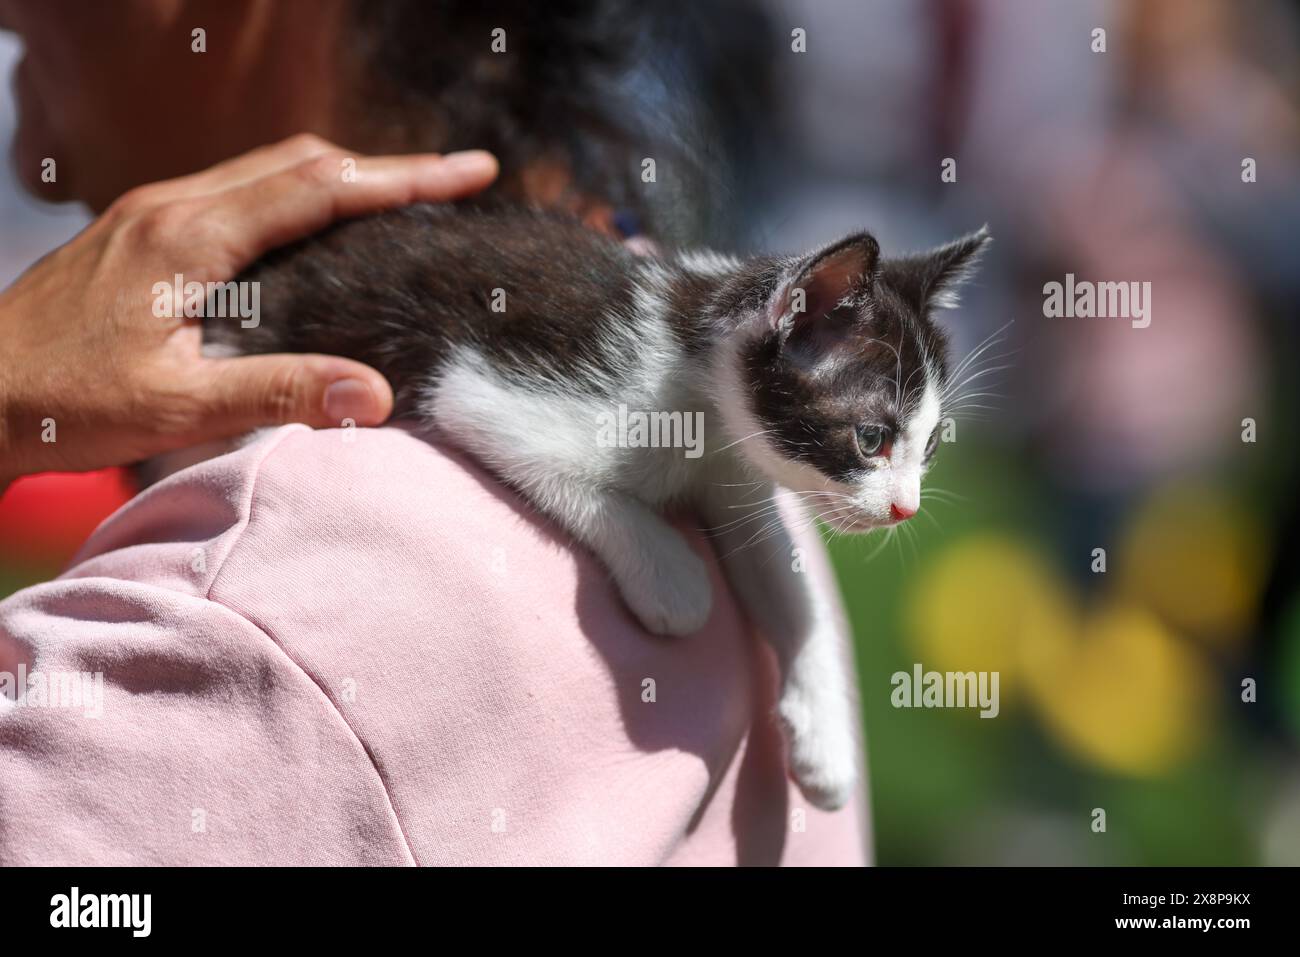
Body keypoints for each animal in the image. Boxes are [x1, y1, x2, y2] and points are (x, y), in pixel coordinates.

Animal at [208, 208, 987, 806]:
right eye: (871, 437)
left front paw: (824, 740)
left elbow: (791, 588)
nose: (905, 509)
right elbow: (582, 482)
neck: (696, 394)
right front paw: (673, 578)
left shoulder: (736, 470)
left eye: (931, 445)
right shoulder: (486, 387)